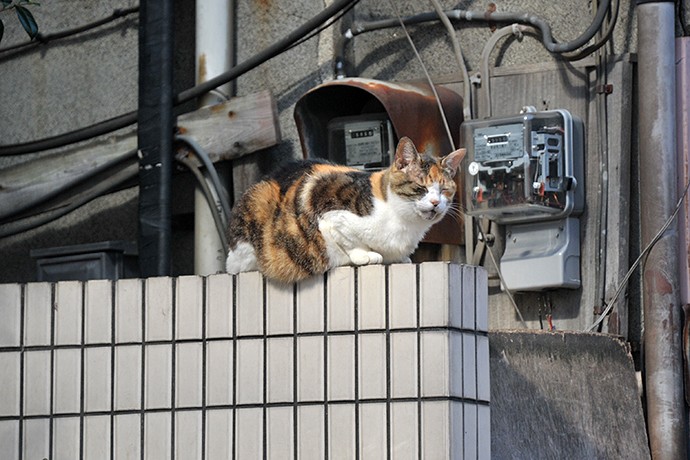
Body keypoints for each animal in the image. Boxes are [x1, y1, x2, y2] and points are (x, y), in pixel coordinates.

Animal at [226, 136, 462, 284]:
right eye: (420, 187)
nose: (436, 203)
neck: (404, 224)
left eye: (444, 190)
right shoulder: (327, 208)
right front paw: (365, 255)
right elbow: (349, 241)